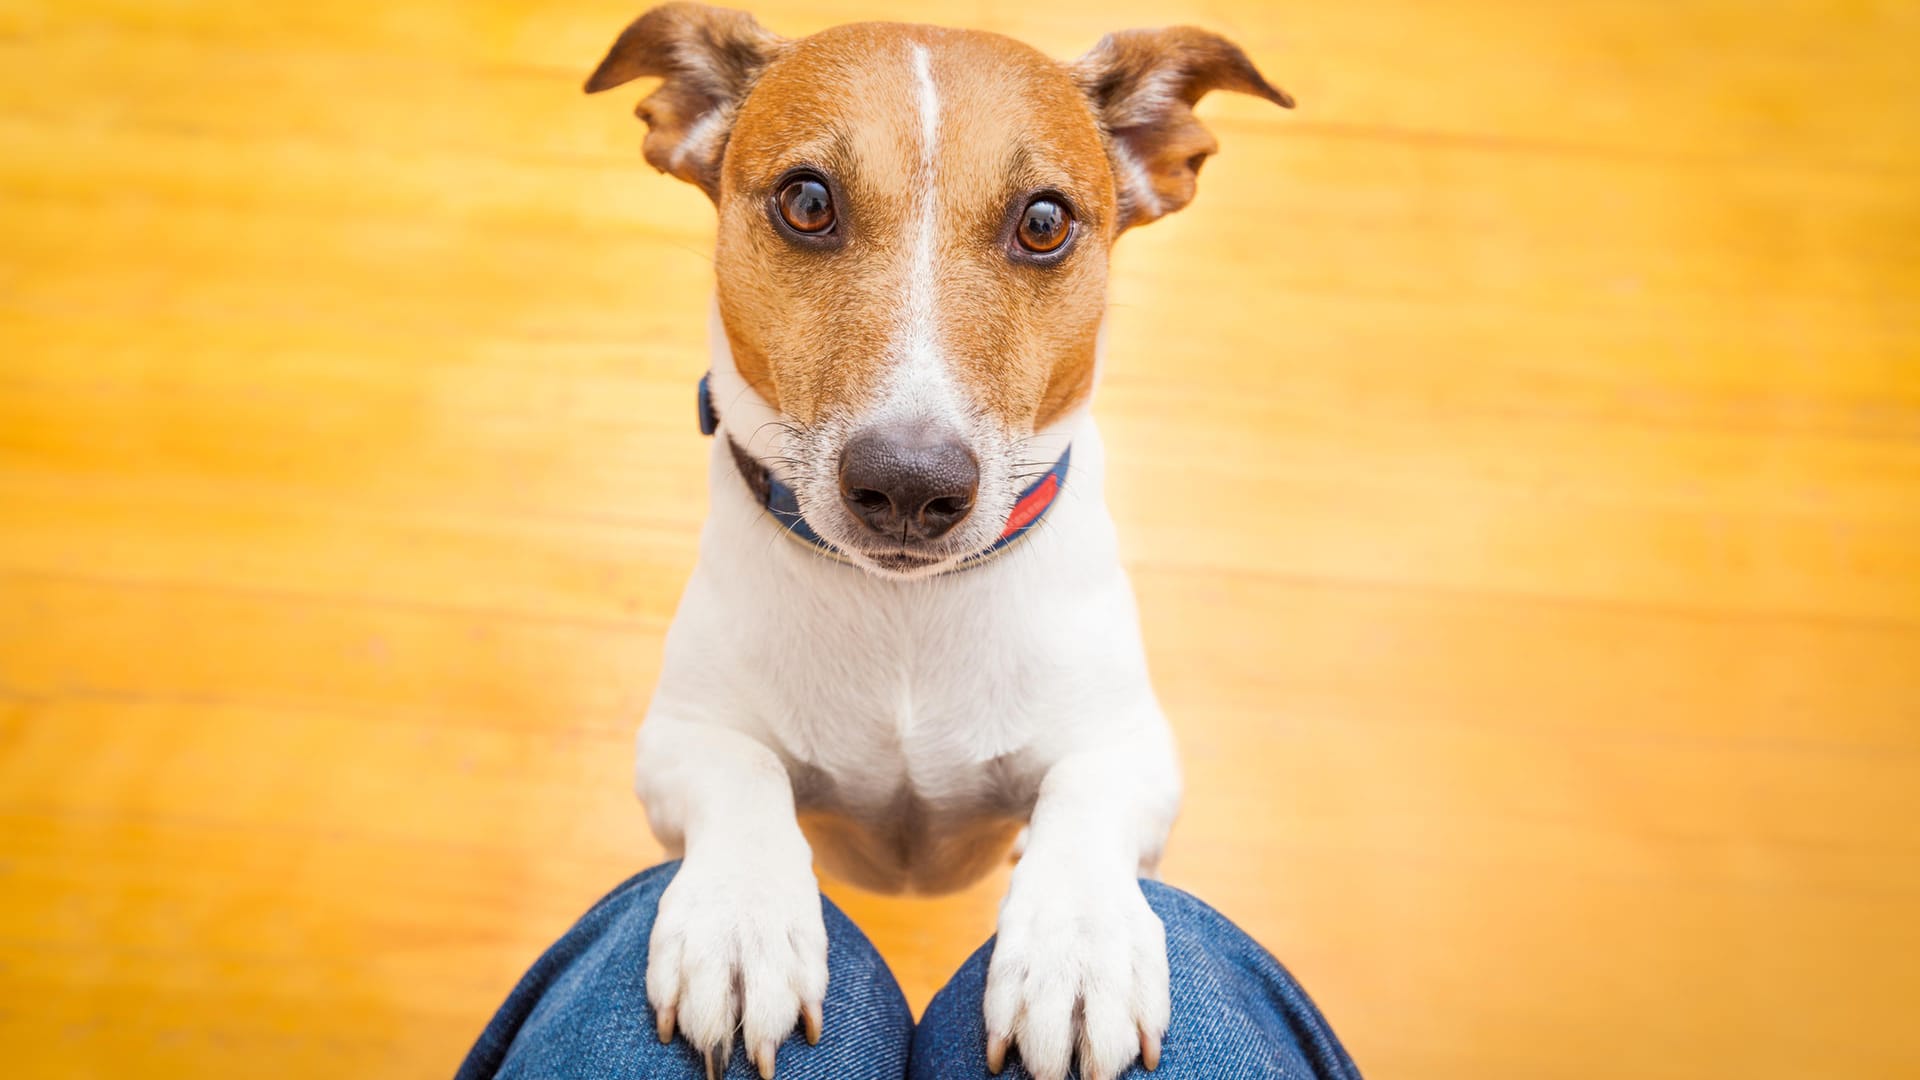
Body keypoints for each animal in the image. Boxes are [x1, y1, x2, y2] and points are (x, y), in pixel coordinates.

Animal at [583, 4, 1290, 1068]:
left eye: (1043, 222)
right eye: (806, 201)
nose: (910, 486)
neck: (905, 611)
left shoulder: (1131, 747)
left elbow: (1084, 803)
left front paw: (1079, 949)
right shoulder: (680, 737)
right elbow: (742, 774)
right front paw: (740, 923)